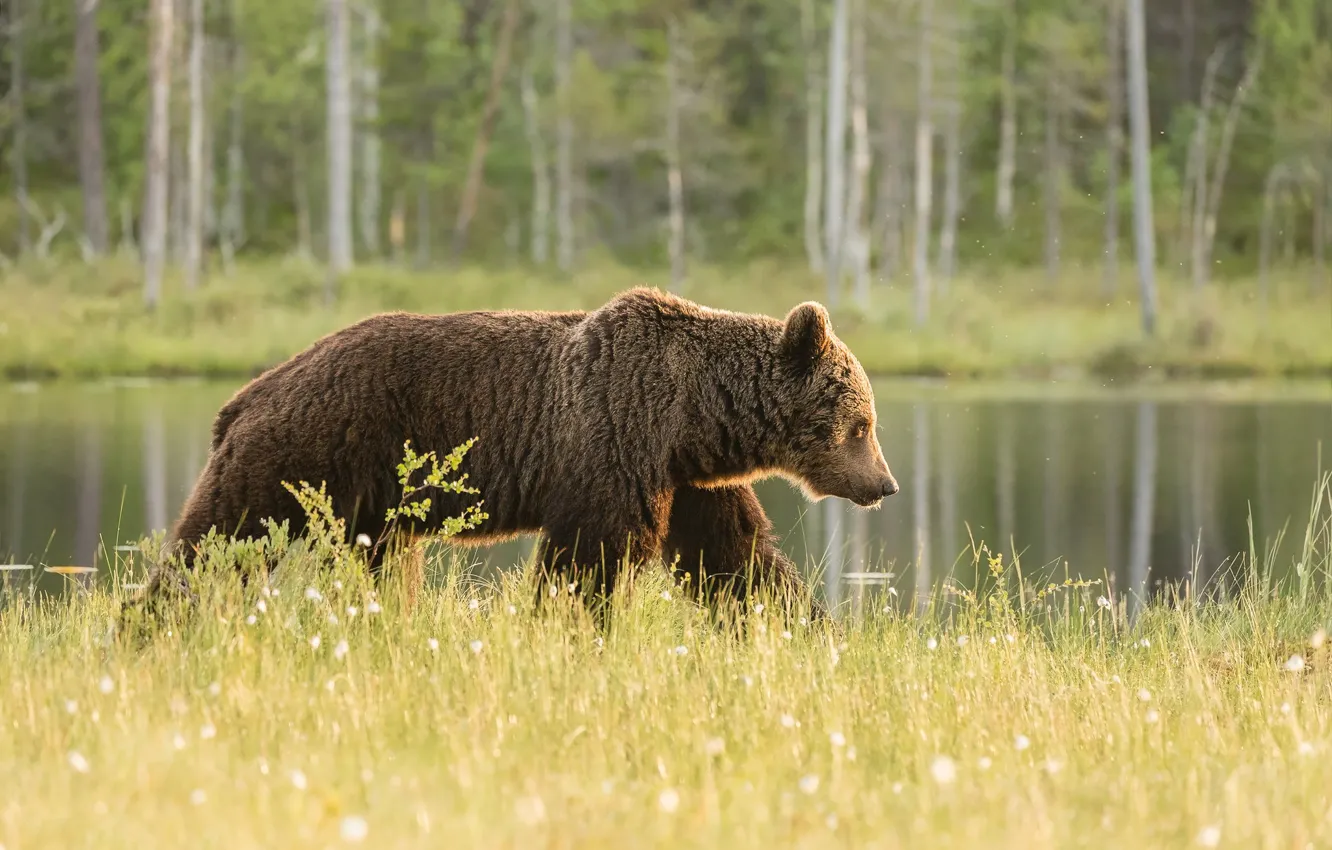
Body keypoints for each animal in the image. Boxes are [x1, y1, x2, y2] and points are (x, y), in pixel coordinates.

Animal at [149, 287, 898, 621]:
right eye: (861, 424)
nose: (885, 485)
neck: (692, 415)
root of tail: (247, 392)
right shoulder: (614, 441)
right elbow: (590, 557)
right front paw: (568, 625)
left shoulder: (686, 479)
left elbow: (736, 554)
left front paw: (793, 622)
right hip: (309, 450)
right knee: (221, 536)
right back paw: (154, 618)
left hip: (376, 501)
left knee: (385, 564)